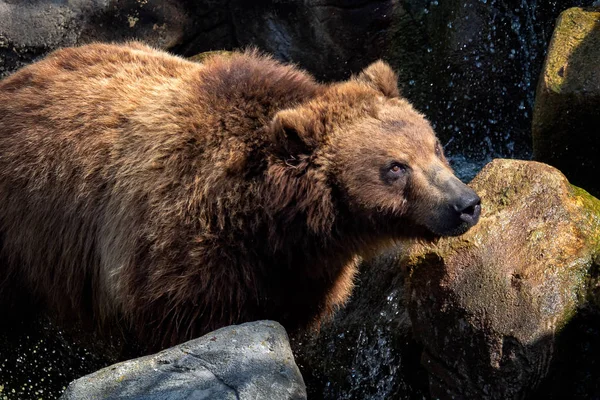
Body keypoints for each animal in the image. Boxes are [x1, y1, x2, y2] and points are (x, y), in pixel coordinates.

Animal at [0, 42, 480, 352]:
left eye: (434, 146)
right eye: (395, 167)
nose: (465, 204)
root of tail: (21, 75)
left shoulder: (296, 277)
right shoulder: (180, 261)